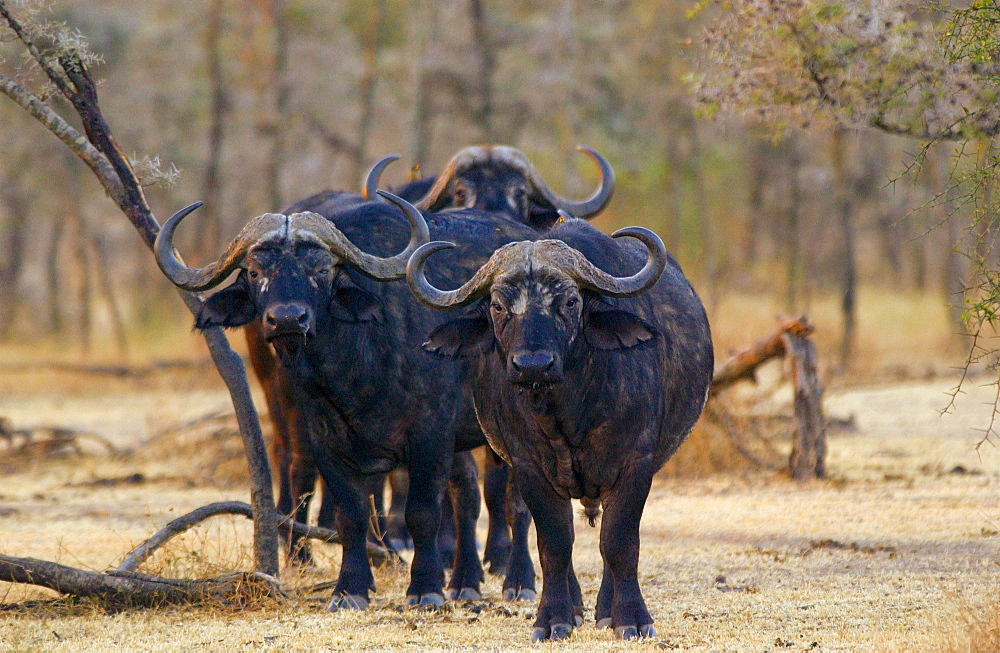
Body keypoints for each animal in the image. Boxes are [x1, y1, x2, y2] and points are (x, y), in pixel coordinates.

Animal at [402, 216, 716, 640]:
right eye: (498, 305)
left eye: (569, 302)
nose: (533, 365)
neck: (568, 411)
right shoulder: (530, 468)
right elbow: (554, 544)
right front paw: (554, 618)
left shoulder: (636, 464)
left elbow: (619, 543)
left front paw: (630, 618)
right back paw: (578, 607)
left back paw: (604, 609)